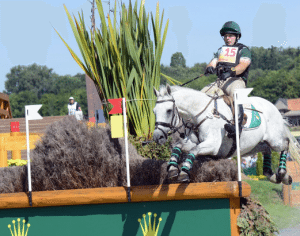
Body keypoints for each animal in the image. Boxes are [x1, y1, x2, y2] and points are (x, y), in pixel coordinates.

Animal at [154, 84, 292, 185]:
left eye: (169, 110)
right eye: (154, 111)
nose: (157, 136)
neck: (201, 115)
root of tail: (272, 106)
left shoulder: (213, 145)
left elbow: (194, 150)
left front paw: (184, 172)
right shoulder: (191, 142)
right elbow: (178, 146)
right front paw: (172, 169)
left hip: (275, 140)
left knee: (285, 144)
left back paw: (282, 174)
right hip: (252, 146)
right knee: (266, 149)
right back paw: (272, 175)